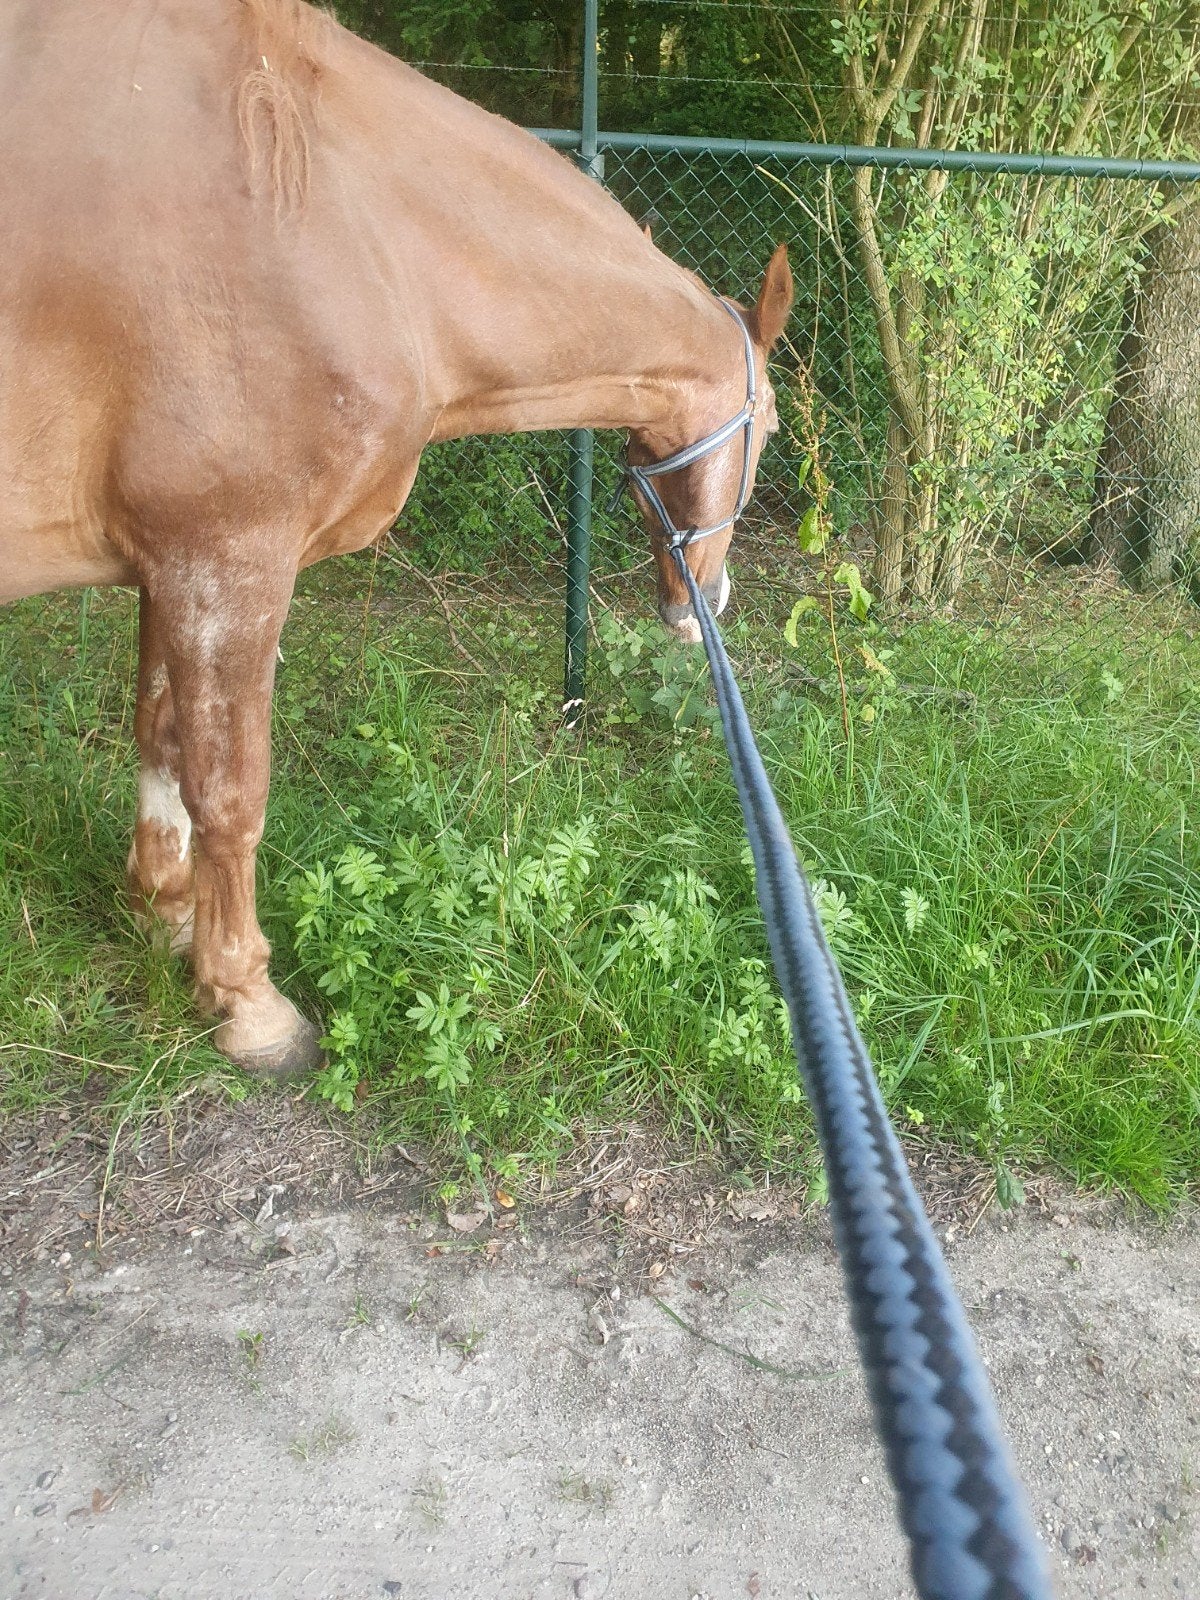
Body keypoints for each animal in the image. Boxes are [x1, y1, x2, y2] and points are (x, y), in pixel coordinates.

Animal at [0, 0, 793, 1078]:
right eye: (775, 428)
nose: (702, 603)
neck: (349, 221)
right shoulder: (228, 562)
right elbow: (230, 790)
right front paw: (247, 1000)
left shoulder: (170, 566)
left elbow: (160, 741)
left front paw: (169, 919)